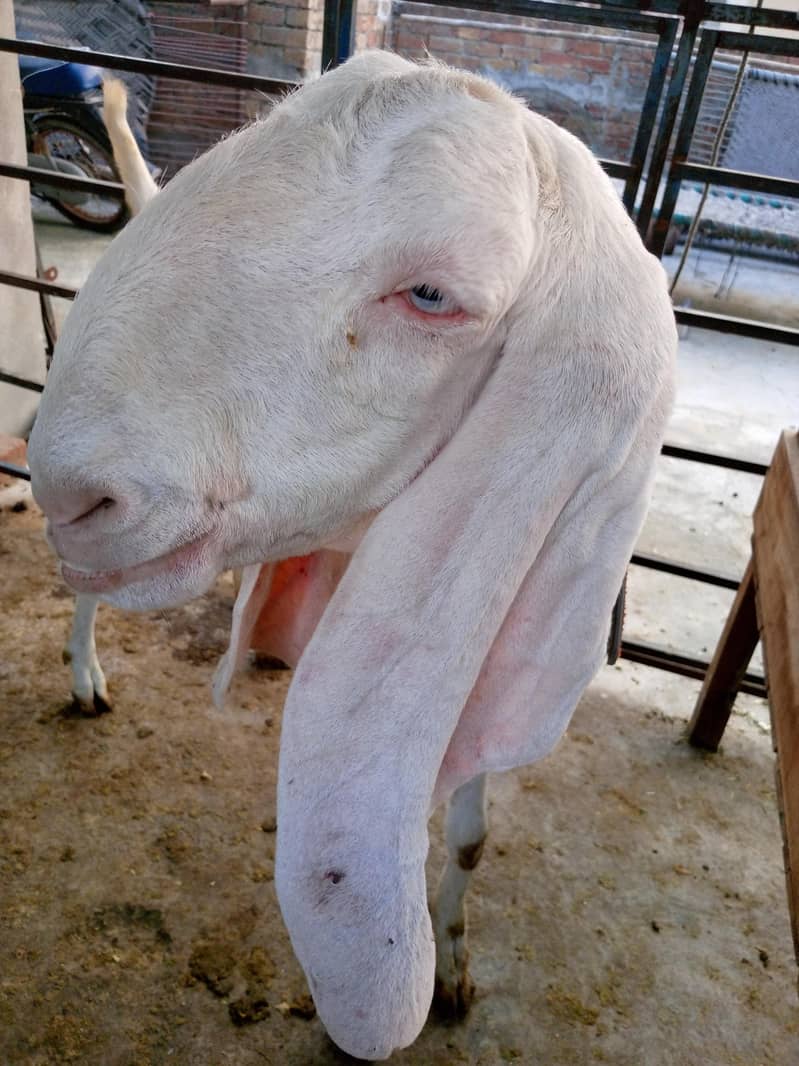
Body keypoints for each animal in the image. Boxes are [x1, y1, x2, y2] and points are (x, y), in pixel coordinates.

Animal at [27, 52, 676, 1060]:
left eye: (433, 296)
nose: (75, 494)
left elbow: (467, 833)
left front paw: (453, 967)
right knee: (89, 591)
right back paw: (86, 674)